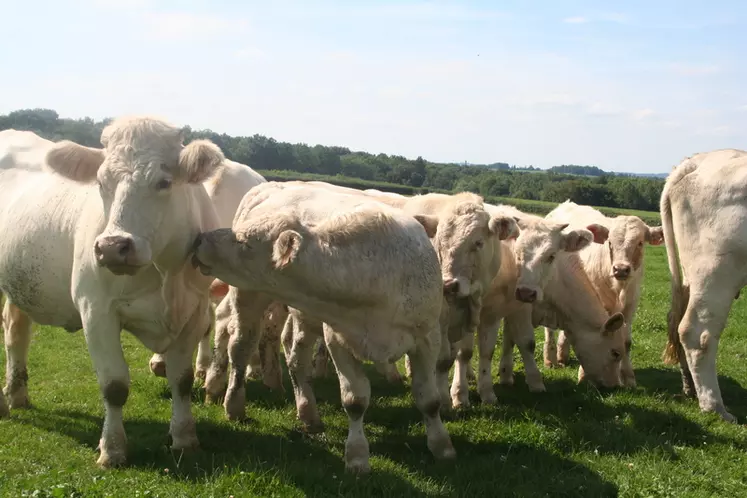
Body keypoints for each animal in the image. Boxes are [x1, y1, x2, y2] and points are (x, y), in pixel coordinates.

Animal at [0, 118, 225, 468]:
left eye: (164, 182)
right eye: (100, 181)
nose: (112, 247)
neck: (165, 274)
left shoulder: (196, 311)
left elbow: (182, 379)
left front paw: (185, 437)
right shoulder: (96, 310)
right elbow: (114, 385)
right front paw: (113, 449)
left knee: (16, 333)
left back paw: (17, 395)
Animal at [190, 182, 456, 474]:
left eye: (245, 243)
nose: (200, 239)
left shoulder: (428, 338)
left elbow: (429, 399)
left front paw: (441, 446)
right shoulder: (337, 340)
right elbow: (355, 399)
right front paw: (357, 456)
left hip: (300, 317)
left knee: (296, 361)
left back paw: (308, 414)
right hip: (248, 296)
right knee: (240, 347)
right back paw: (234, 404)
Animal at [452, 204, 628, 406]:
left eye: (551, 255)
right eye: (616, 353)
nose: (614, 386)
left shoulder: (511, 308)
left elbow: (509, 339)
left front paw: (506, 375)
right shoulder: (521, 309)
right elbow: (525, 342)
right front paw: (535, 382)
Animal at [540, 200, 664, 388]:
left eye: (640, 243)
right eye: (610, 243)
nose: (621, 269)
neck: (619, 288)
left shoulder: (631, 305)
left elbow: (626, 342)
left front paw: (628, 377)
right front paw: (584, 375)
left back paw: (562, 354)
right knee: (550, 329)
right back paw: (550, 359)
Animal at [660, 149, 747, 424]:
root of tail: (699, 159)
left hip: (693, 278)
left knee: (676, 321)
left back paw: (690, 386)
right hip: (717, 273)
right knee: (697, 333)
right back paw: (714, 406)